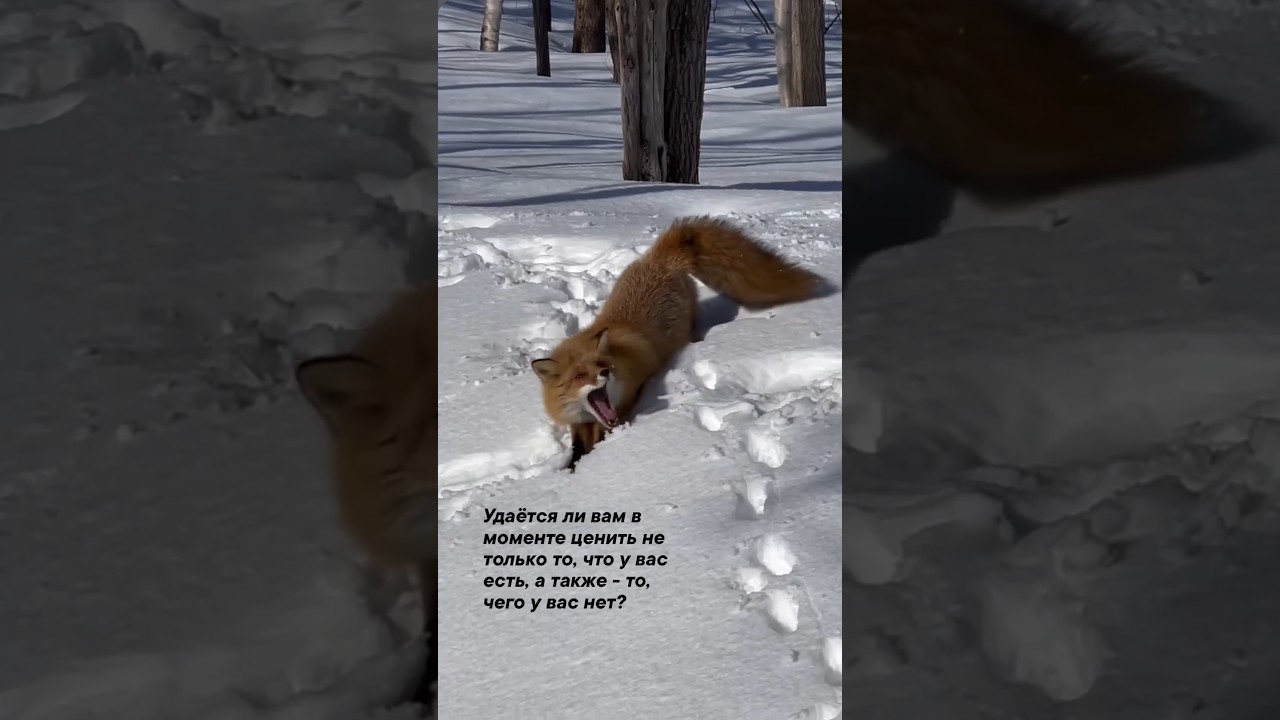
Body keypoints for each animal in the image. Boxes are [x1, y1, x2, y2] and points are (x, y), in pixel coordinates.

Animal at [530, 217, 829, 468]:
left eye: (603, 365)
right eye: (579, 375)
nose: (605, 373)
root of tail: (657, 257)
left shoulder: (628, 397)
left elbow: (605, 432)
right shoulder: (579, 421)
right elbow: (578, 449)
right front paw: (571, 469)